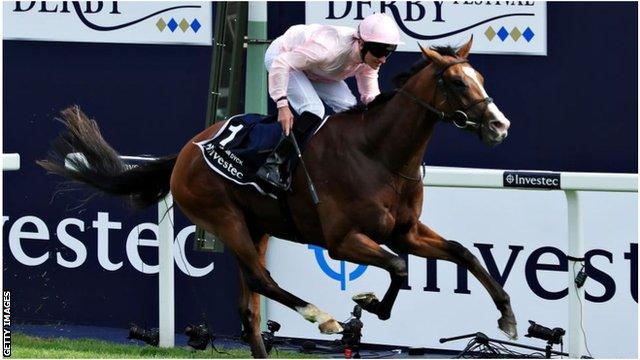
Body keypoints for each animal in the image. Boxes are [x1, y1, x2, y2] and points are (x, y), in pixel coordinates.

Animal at [38, 38, 516, 358]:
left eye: (480, 77)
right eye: (456, 83)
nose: (500, 124)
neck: (378, 153)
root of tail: (187, 151)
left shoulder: (406, 231)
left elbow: (462, 253)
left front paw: (507, 317)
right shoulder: (342, 240)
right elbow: (398, 266)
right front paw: (370, 307)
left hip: (257, 227)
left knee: (249, 304)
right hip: (225, 218)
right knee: (261, 282)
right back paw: (320, 316)